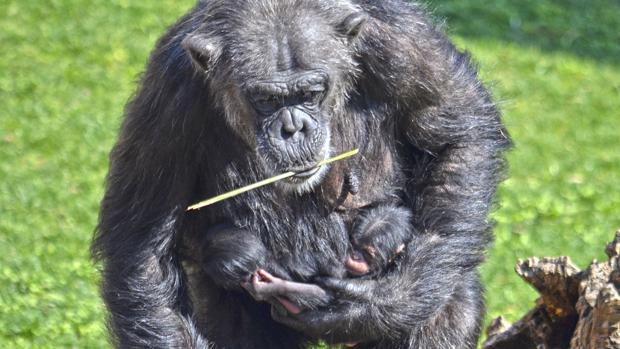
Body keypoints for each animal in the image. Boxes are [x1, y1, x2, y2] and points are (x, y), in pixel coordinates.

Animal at [91, 0, 508, 348]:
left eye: (310, 93)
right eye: (266, 100)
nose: (293, 128)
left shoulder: (401, 42)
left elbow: (458, 133)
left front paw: (376, 305)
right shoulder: (169, 94)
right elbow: (141, 243)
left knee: (446, 294)